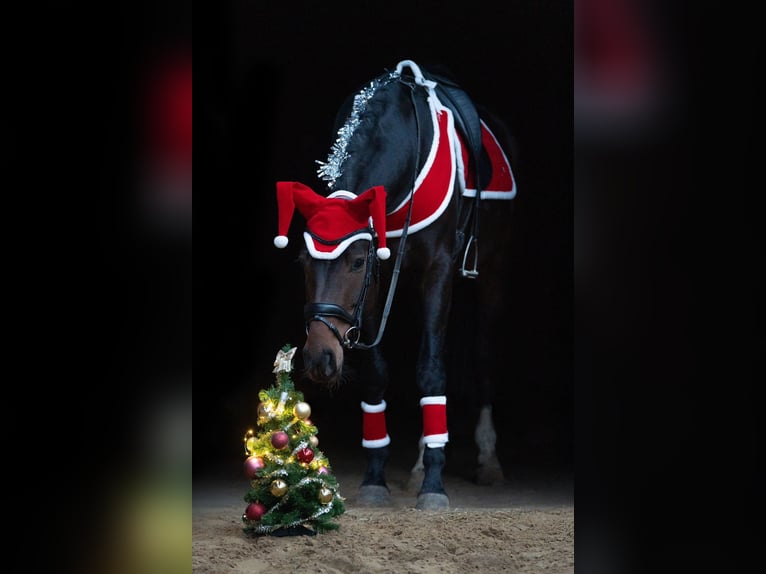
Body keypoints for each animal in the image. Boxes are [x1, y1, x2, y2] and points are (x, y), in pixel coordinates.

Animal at [272, 59, 520, 508]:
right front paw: (375, 479)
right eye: (302, 262)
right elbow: (377, 374)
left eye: (355, 262)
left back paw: (486, 459)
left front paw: (435, 485)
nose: (319, 358)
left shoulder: (437, 268)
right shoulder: (380, 279)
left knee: (483, 355)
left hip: (492, 270)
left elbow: (431, 371)